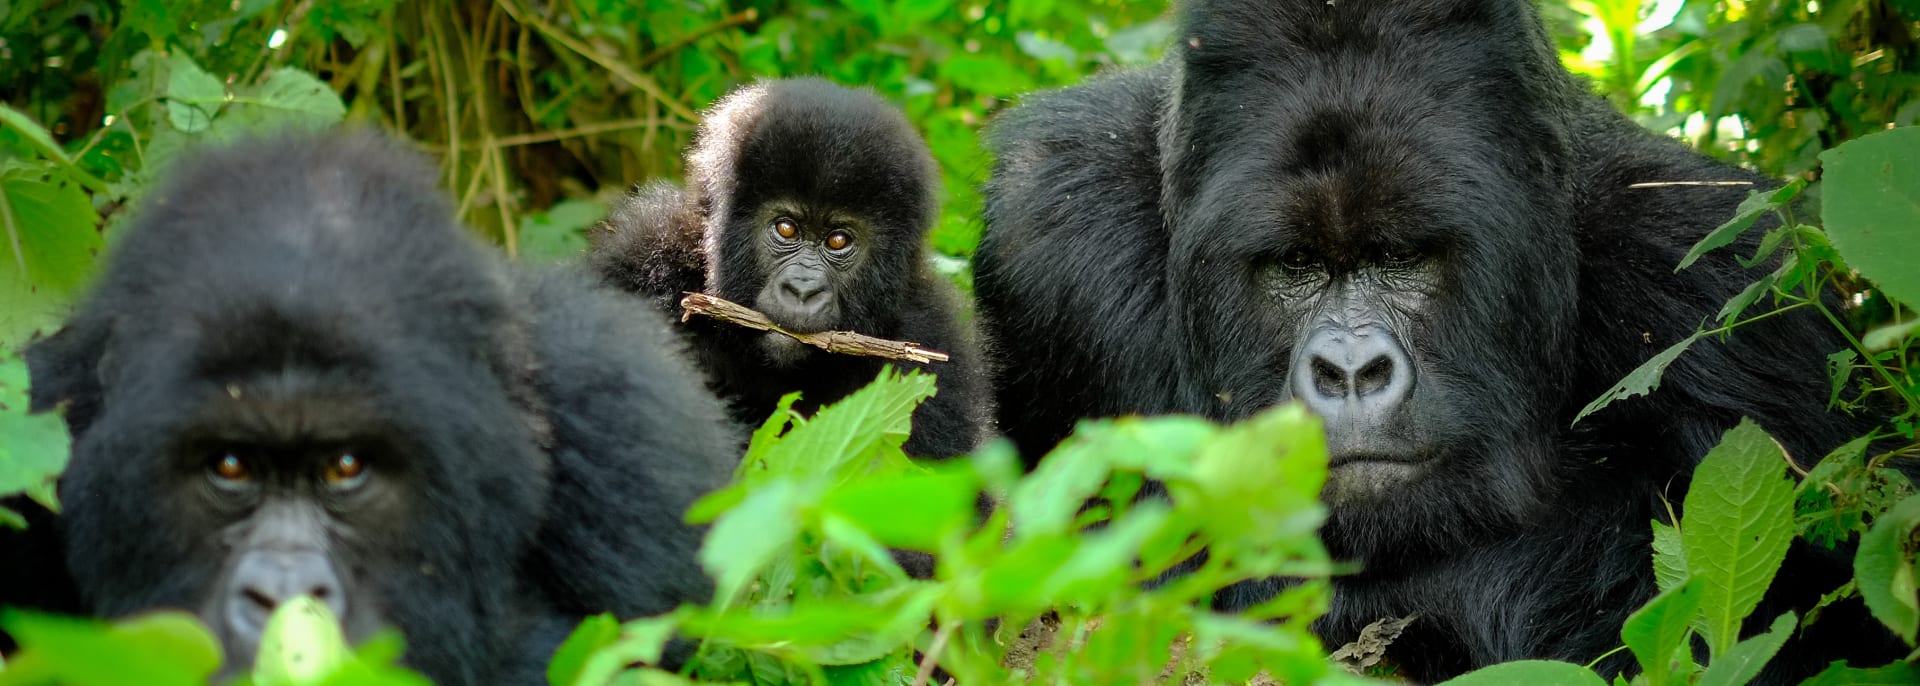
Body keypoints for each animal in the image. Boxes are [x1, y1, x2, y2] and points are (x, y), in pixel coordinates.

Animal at [983, 0, 1896, 680]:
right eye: (1296, 264)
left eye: (1399, 257)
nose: (1350, 371)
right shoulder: (1054, 230)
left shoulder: (1722, 278)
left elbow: (1816, 614)